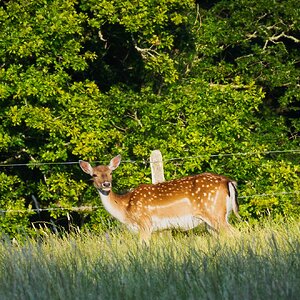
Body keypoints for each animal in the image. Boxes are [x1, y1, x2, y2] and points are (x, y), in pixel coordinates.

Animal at [79, 155, 239, 241]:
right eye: (94, 175)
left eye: (111, 173)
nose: (106, 184)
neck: (125, 209)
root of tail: (228, 181)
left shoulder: (145, 223)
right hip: (218, 217)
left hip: (214, 213)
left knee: (236, 234)